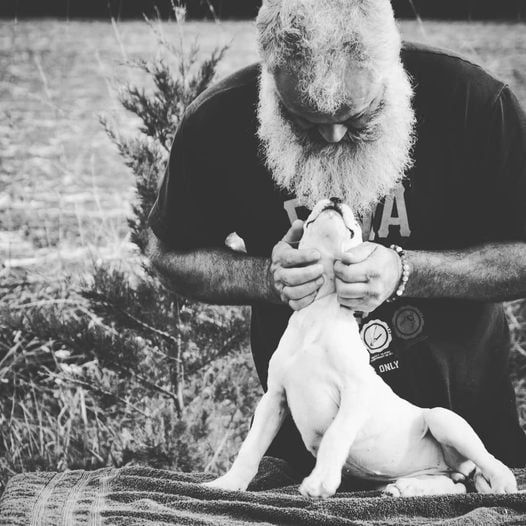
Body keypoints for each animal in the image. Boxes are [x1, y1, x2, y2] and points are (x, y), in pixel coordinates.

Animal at [204, 198, 517, 498]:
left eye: (354, 224)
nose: (335, 197)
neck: (317, 314)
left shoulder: (357, 390)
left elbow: (335, 434)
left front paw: (320, 482)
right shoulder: (274, 398)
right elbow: (250, 448)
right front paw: (227, 484)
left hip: (443, 419)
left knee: (489, 464)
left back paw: (503, 484)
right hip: (433, 469)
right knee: (454, 484)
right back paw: (408, 488)